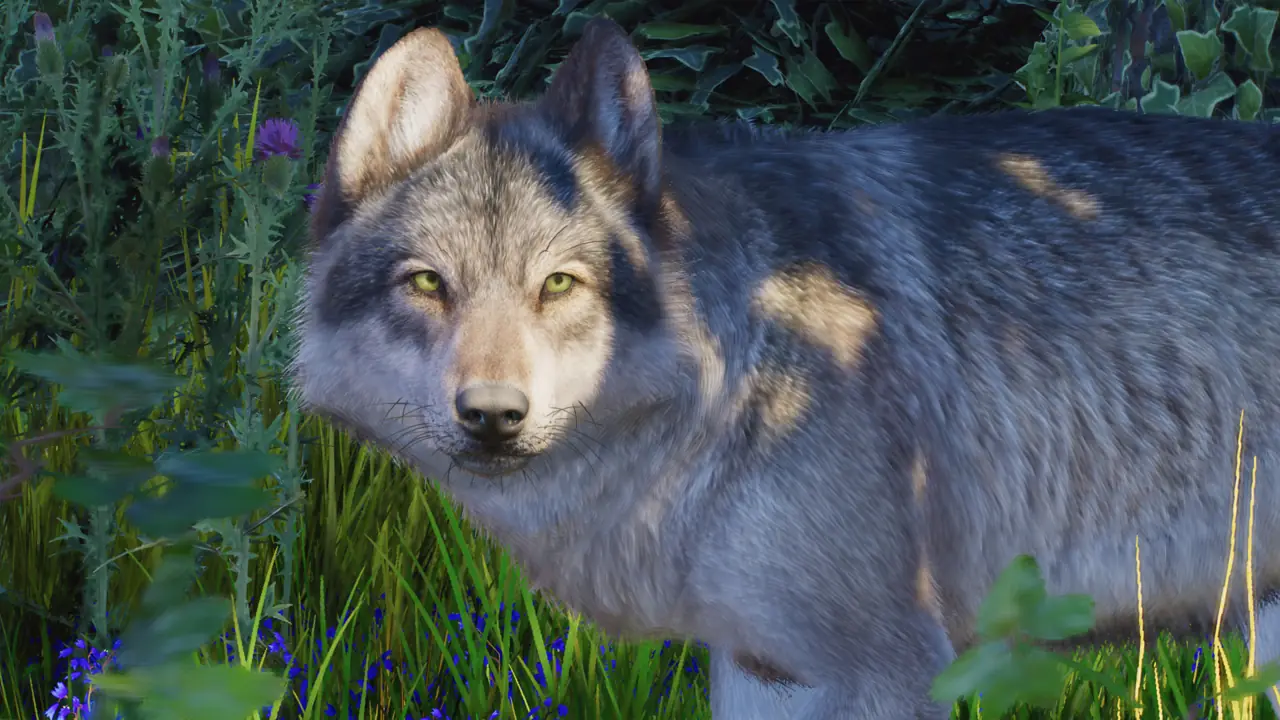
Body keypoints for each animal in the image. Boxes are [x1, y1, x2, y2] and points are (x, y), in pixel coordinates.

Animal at [291, 16, 1280, 719]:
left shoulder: (891, 667)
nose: (494, 415)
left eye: (559, 284)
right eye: (428, 284)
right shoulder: (762, 666)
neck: (733, 373)